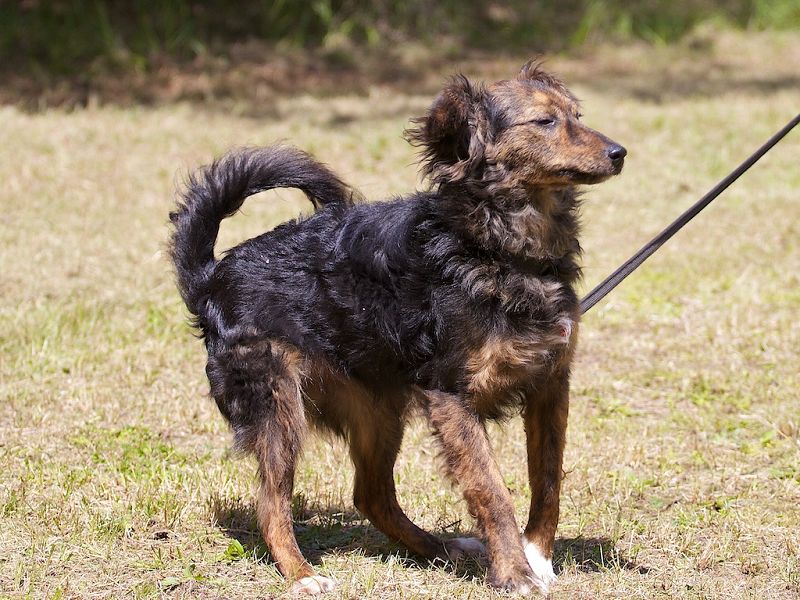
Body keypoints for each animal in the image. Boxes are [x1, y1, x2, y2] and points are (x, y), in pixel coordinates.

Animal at [169, 62, 625, 595]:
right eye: (545, 122)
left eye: (577, 116)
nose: (619, 153)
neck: (498, 248)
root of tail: (210, 275)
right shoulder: (451, 397)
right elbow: (491, 489)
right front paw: (514, 572)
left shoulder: (551, 384)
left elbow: (548, 479)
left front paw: (538, 555)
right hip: (279, 409)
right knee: (272, 501)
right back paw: (302, 574)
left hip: (378, 410)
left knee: (372, 495)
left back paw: (442, 549)